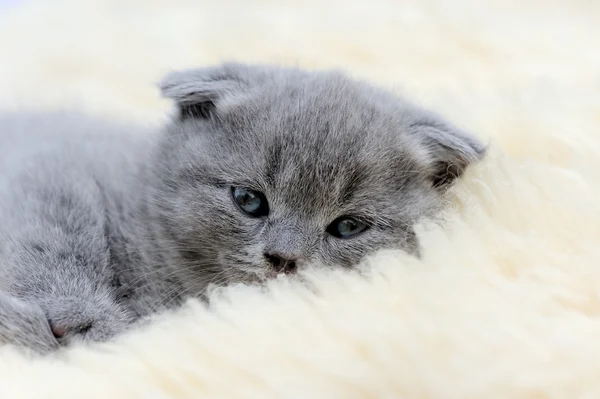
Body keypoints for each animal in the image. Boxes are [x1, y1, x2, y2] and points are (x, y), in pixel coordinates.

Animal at [0, 62, 486, 354]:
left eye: (348, 227)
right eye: (250, 201)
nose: (284, 258)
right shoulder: (53, 167)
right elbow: (53, 235)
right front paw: (81, 315)